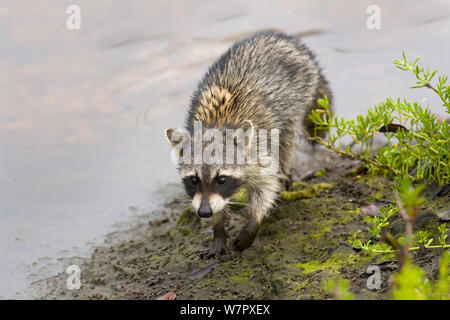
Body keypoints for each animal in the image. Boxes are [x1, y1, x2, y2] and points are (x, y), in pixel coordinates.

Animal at [163, 31, 332, 258]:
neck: (216, 125)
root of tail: (281, 37)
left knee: (285, 143)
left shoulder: (260, 151)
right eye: (194, 180)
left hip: (299, 96)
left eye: (222, 179)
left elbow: (267, 188)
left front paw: (253, 223)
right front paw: (218, 228)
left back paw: (286, 173)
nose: (204, 212)